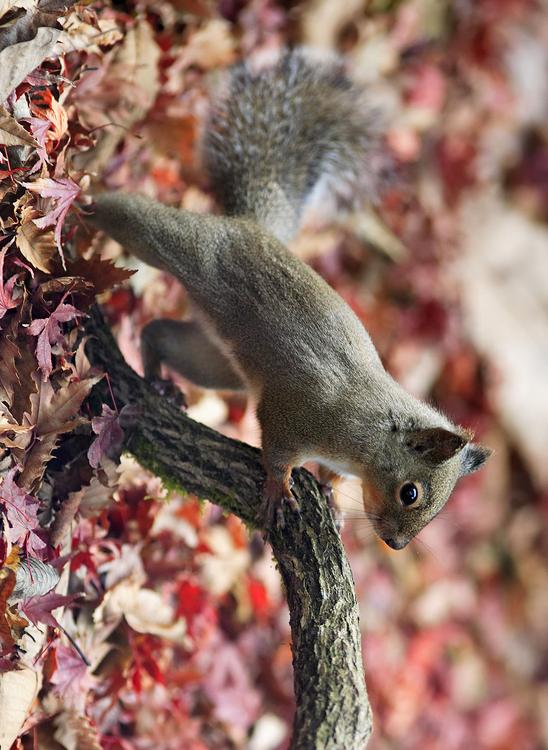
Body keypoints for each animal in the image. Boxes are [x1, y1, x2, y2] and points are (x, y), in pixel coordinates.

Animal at [87, 49, 491, 548]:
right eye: (410, 492)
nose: (396, 545)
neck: (368, 431)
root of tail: (251, 224)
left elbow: (331, 477)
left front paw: (332, 498)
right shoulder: (295, 413)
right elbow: (278, 453)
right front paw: (280, 490)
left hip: (217, 363)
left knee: (159, 333)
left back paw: (158, 378)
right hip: (184, 247)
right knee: (128, 216)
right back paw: (77, 202)